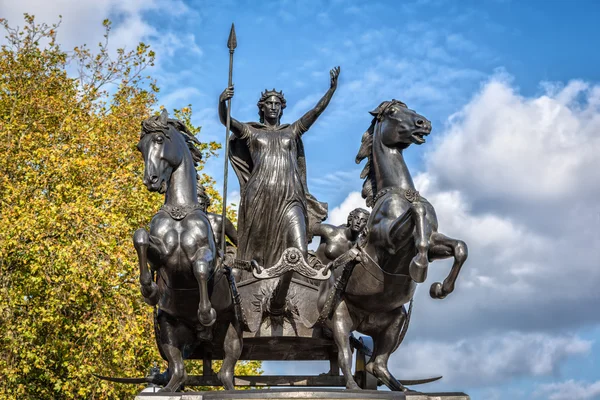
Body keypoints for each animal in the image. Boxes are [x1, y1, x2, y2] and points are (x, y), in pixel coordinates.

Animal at [133, 111, 241, 392]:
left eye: (159, 139)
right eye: (140, 147)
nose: (151, 181)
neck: (179, 212)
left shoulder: (205, 254)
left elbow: (201, 269)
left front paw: (206, 313)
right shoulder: (162, 255)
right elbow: (140, 237)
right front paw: (149, 290)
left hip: (233, 333)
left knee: (226, 374)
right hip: (169, 328)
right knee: (179, 370)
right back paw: (166, 389)